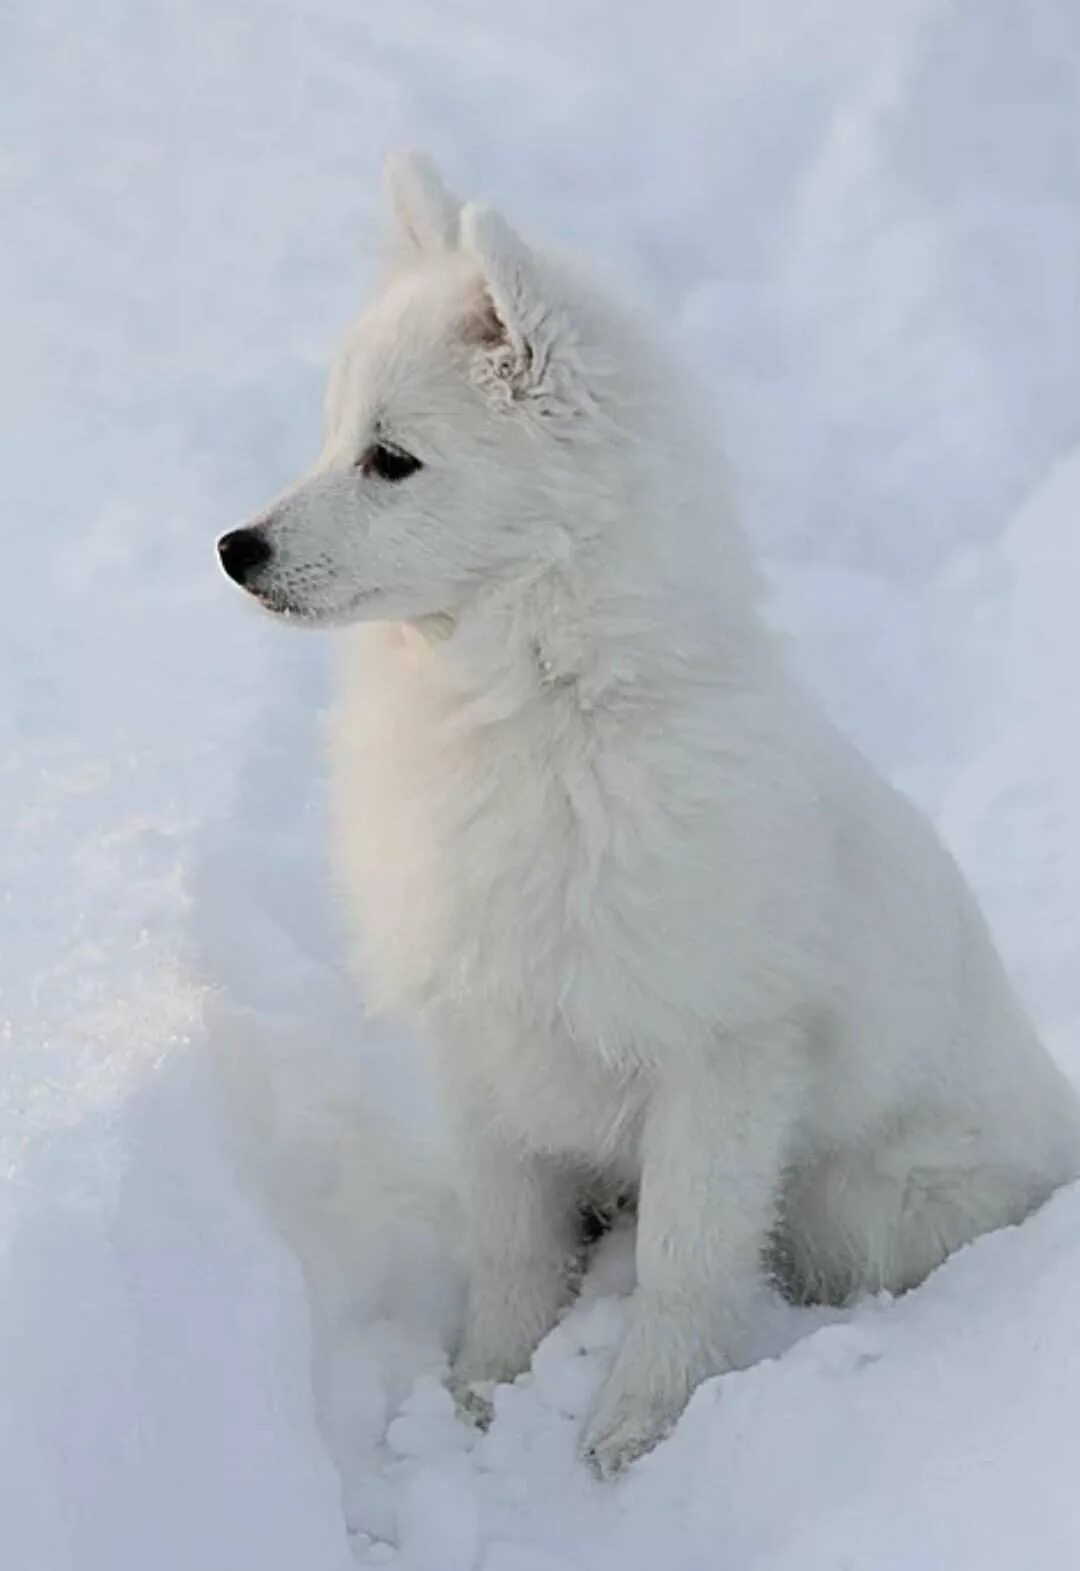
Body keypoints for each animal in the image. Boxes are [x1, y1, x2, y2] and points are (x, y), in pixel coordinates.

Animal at [220, 153, 1080, 1476]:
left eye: (391, 459)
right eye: (331, 438)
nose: (235, 548)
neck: (543, 711)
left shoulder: (721, 1058)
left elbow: (682, 1263)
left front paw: (628, 1437)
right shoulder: (487, 1047)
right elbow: (512, 1247)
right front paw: (482, 1393)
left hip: (860, 1197)